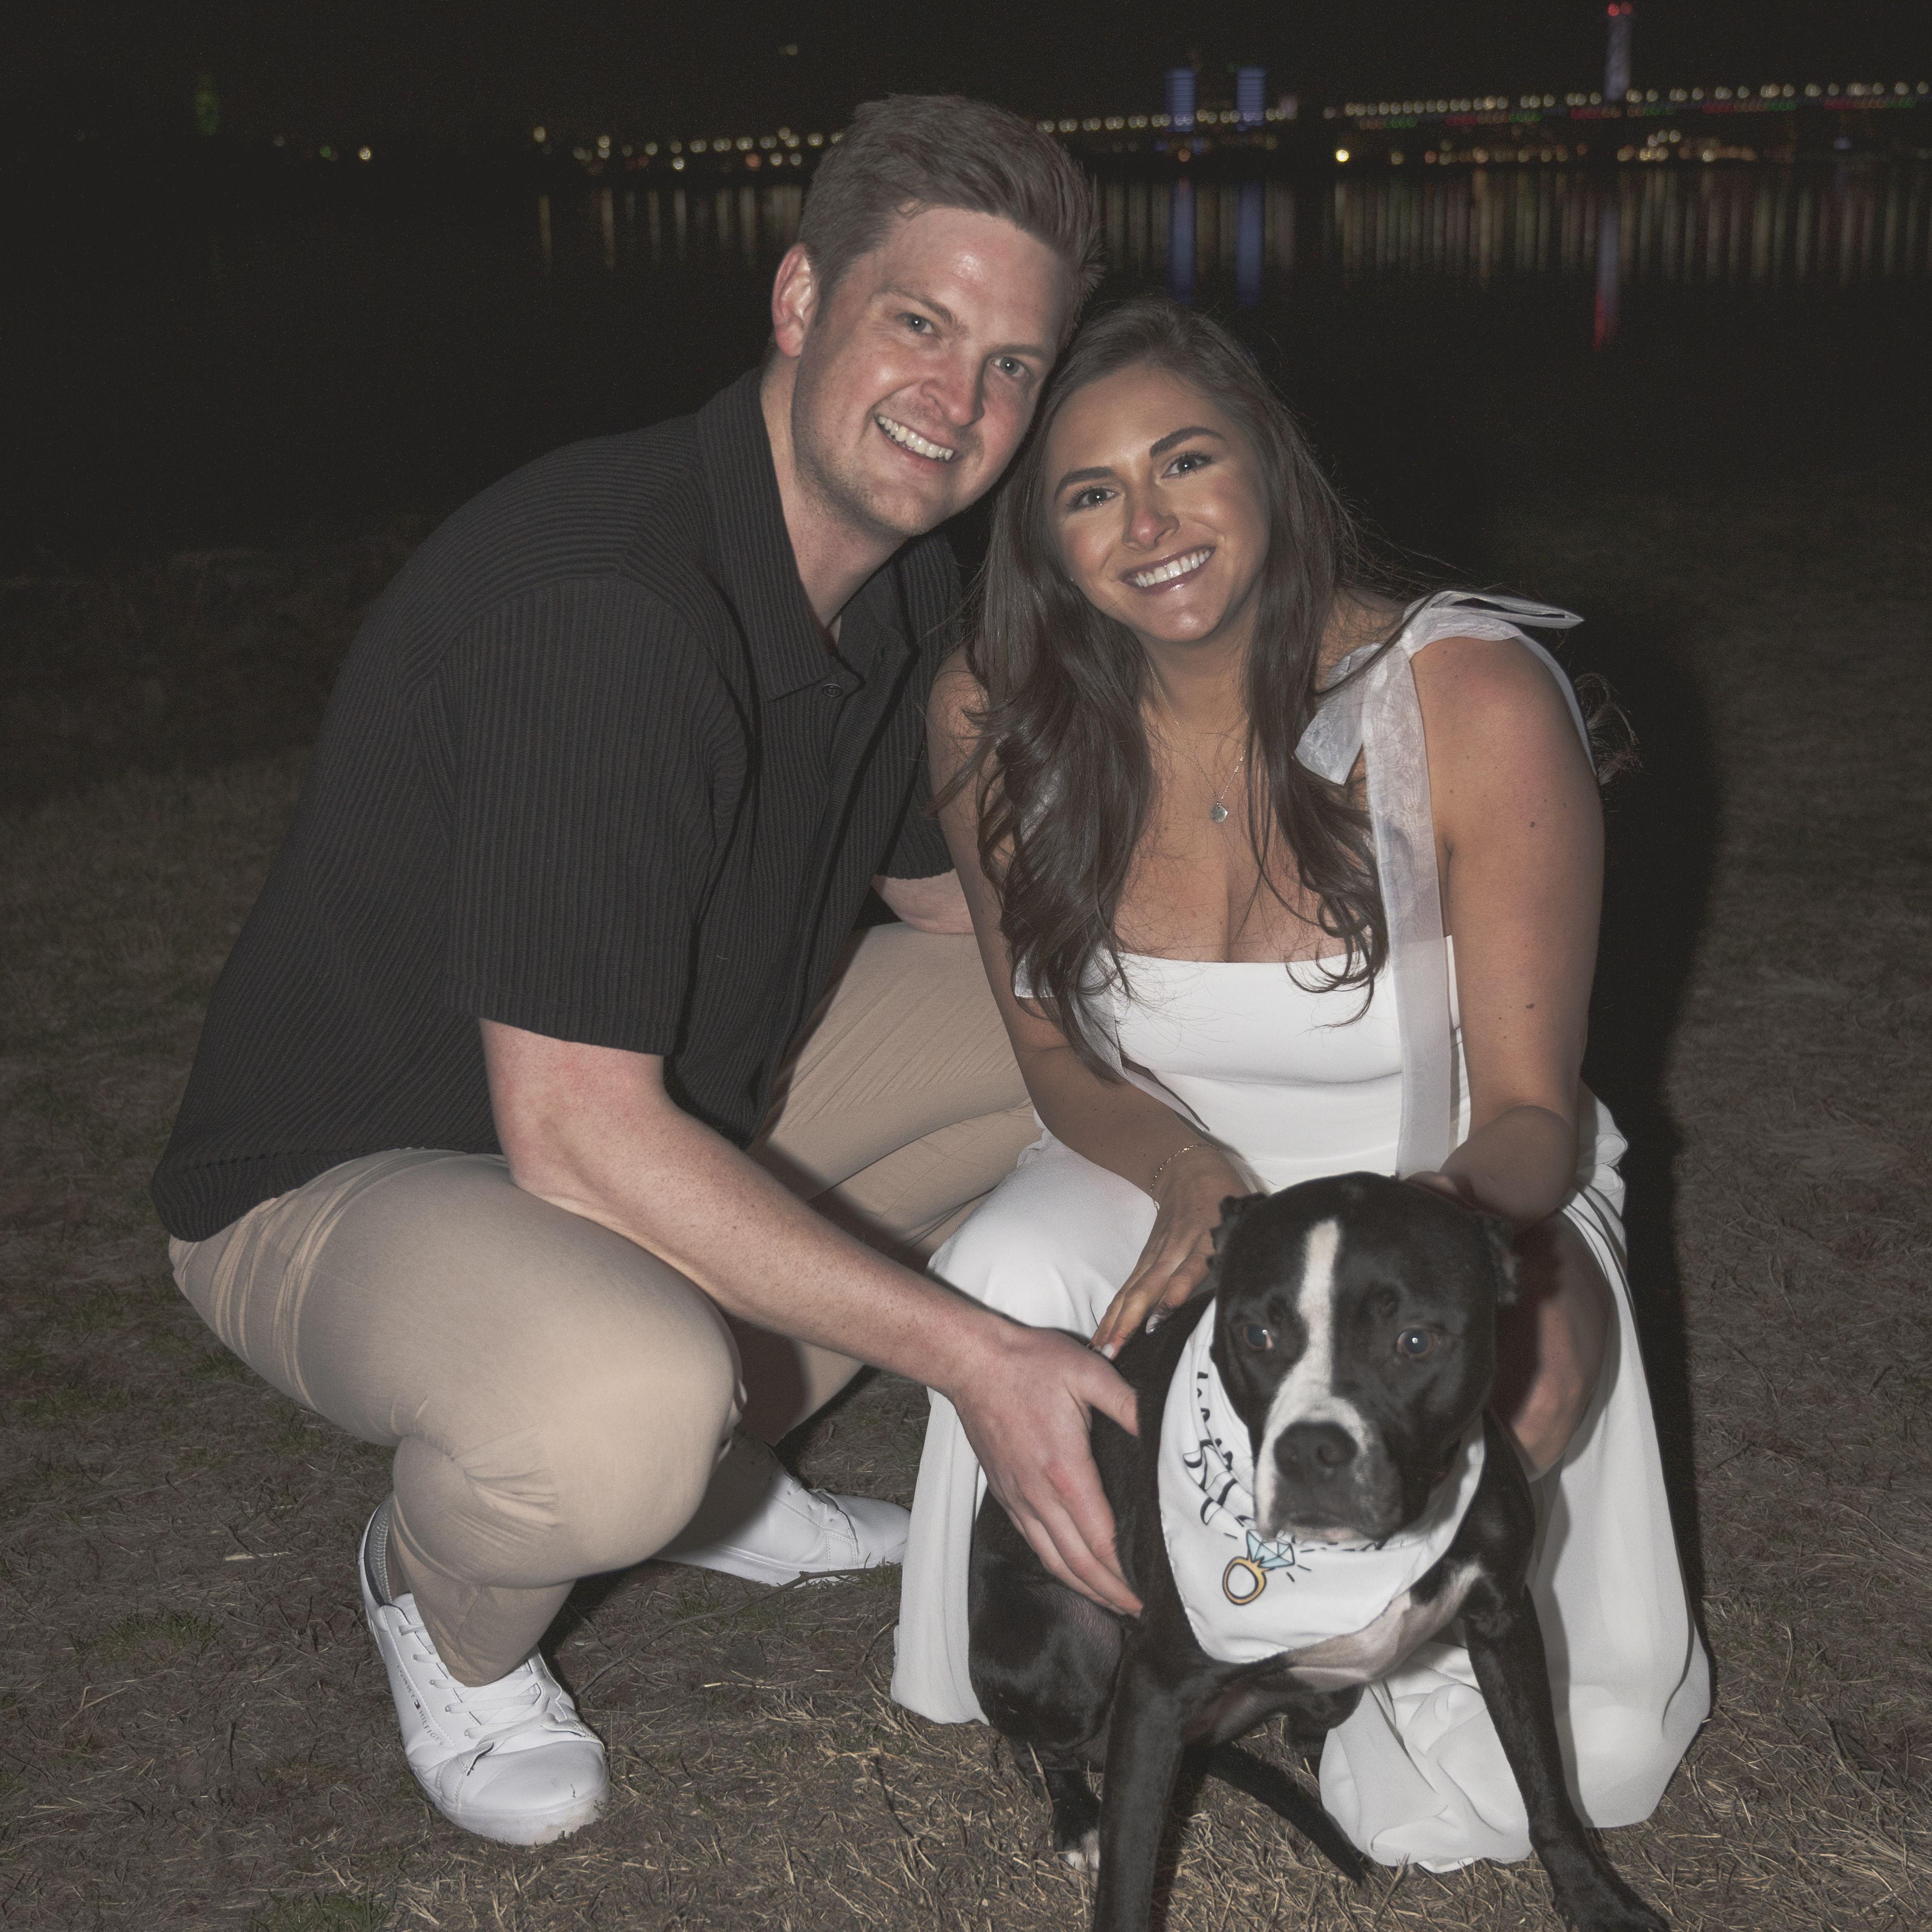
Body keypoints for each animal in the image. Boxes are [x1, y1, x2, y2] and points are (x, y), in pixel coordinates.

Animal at [968, 1171, 1666, 1932]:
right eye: (1257, 1333)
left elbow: (1547, 1787)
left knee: (1310, 1714)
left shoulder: (1504, 1618)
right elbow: (1129, 1869)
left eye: (1415, 1341)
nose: (1310, 1451)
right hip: (1073, 1644)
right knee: (1043, 1746)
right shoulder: (1155, 1686)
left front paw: (1597, 1901)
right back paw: (1076, 1819)